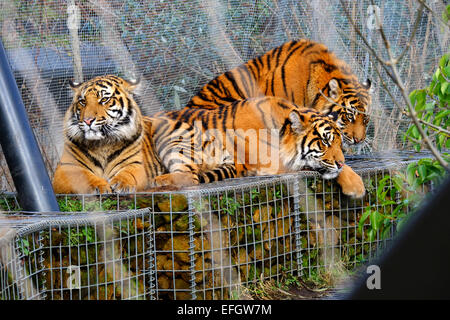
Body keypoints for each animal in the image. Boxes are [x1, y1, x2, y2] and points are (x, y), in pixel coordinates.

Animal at [151, 96, 366, 199]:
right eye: (324, 142)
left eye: (339, 143)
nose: (340, 163)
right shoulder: (271, 163)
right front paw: (357, 186)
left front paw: (356, 184)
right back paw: (160, 180)